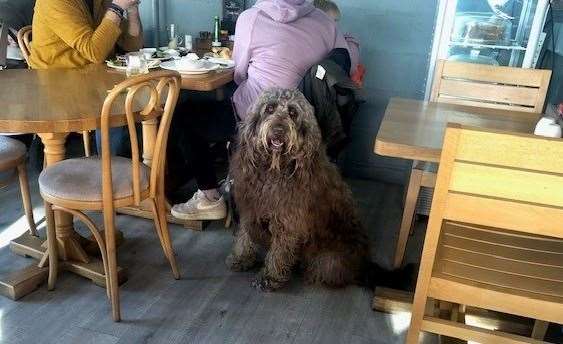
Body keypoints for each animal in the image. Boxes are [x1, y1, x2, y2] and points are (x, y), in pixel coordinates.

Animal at [227, 88, 376, 290]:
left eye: (292, 113)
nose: (278, 130)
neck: (274, 169)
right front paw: (241, 258)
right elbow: (244, 235)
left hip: (328, 259)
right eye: (270, 108)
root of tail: (363, 264)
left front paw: (270, 276)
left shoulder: (288, 219)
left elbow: (280, 250)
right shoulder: (250, 206)